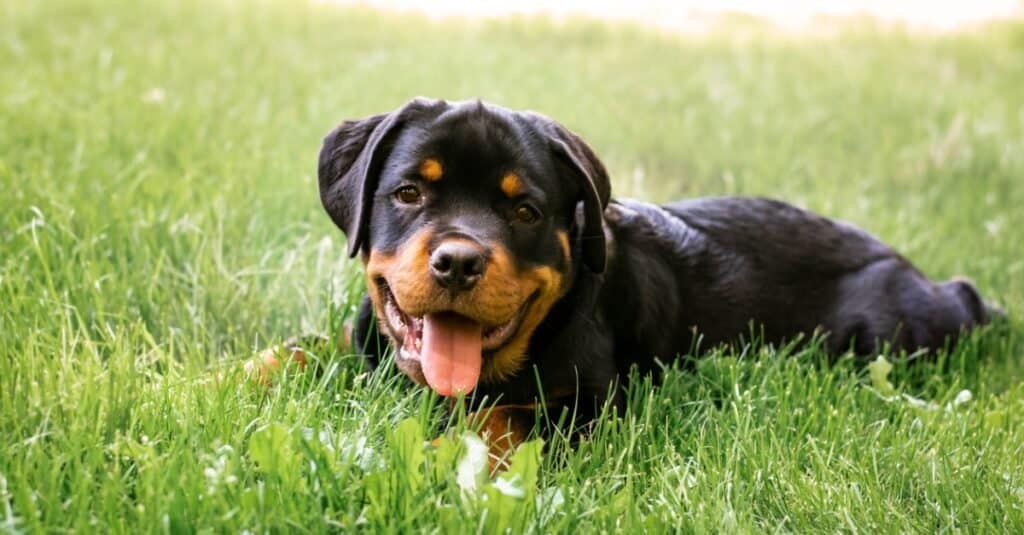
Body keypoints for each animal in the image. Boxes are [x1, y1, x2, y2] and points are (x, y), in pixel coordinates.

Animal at [309, 96, 991, 461]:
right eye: (409, 193)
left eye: (525, 211)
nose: (458, 261)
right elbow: (311, 344)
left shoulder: (591, 405)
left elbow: (506, 419)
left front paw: (449, 454)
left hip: (888, 334)